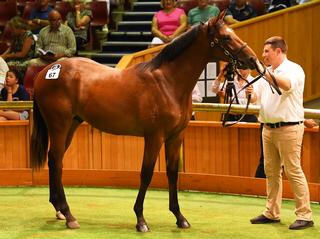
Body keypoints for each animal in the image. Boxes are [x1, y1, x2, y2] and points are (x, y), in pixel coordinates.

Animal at [30, 12, 258, 232]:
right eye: (226, 37)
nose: (253, 59)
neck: (168, 82)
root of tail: (47, 71)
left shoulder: (175, 137)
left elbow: (172, 173)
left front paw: (179, 217)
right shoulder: (154, 137)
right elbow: (146, 173)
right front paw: (140, 219)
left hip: (71, 125)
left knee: (55, 160)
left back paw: (60, 210)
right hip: (59, 126)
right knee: (56, 160)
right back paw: (69, 215)